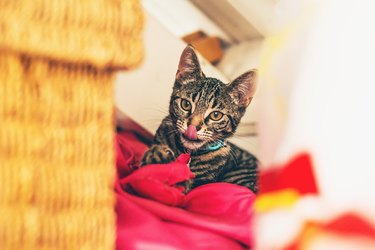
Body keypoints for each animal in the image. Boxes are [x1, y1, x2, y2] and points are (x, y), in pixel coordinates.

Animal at [141, 44, 258, 193]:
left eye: (216, 115)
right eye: (185, 104)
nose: (193, 127)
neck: (185, 152)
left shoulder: (191, 186)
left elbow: (181, 182)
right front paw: (156, 154)